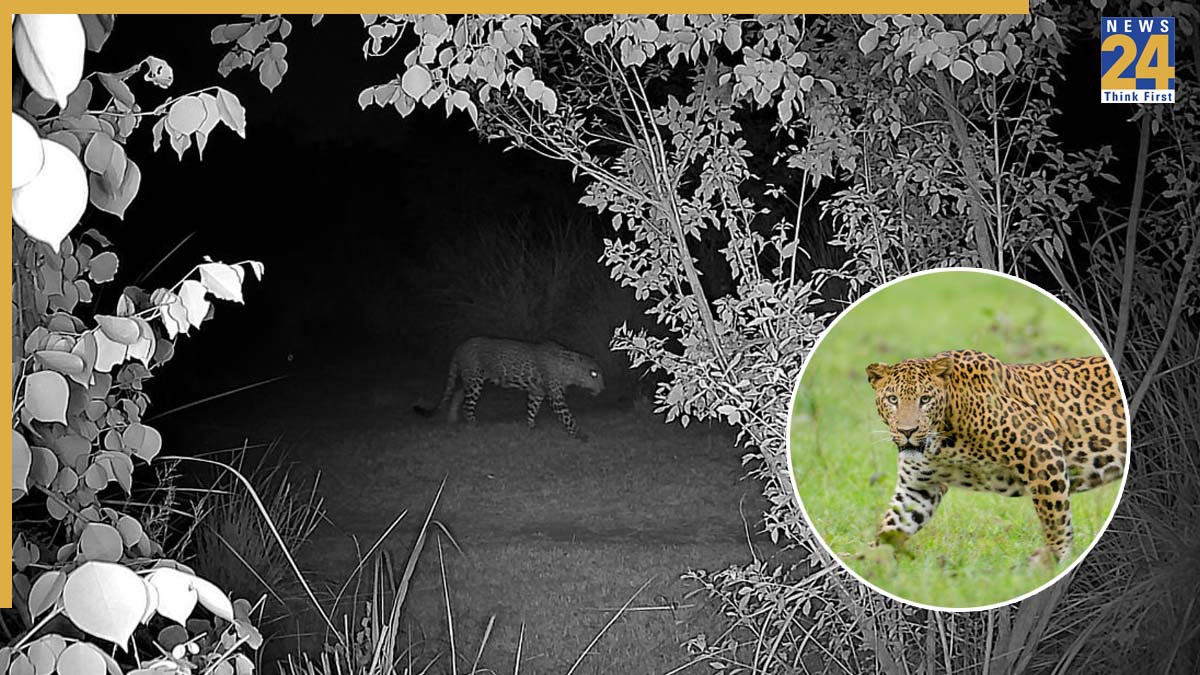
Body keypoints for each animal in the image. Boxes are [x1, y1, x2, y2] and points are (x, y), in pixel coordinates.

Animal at [414, 337, 604, 439]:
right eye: (593, 373)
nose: (603, 387)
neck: (567, 369)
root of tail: (460, 346)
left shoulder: (537, 392)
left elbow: (532, 409)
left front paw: (531, 427)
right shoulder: (555, 396)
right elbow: (567, 417)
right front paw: (580, 435)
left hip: (468, 380)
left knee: (457, 395)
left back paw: (452, 420)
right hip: (475, 381)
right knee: (467, 405)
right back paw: (474, 424)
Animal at [865, 349, 1127, 565]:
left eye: (925, 399)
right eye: (893, 399)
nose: (907, 431)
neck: (942, 442)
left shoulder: (1042, 453)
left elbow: (1055, 517)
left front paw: (1054, 560)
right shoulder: (918, 488)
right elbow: (892, 525)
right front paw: (871, 561)